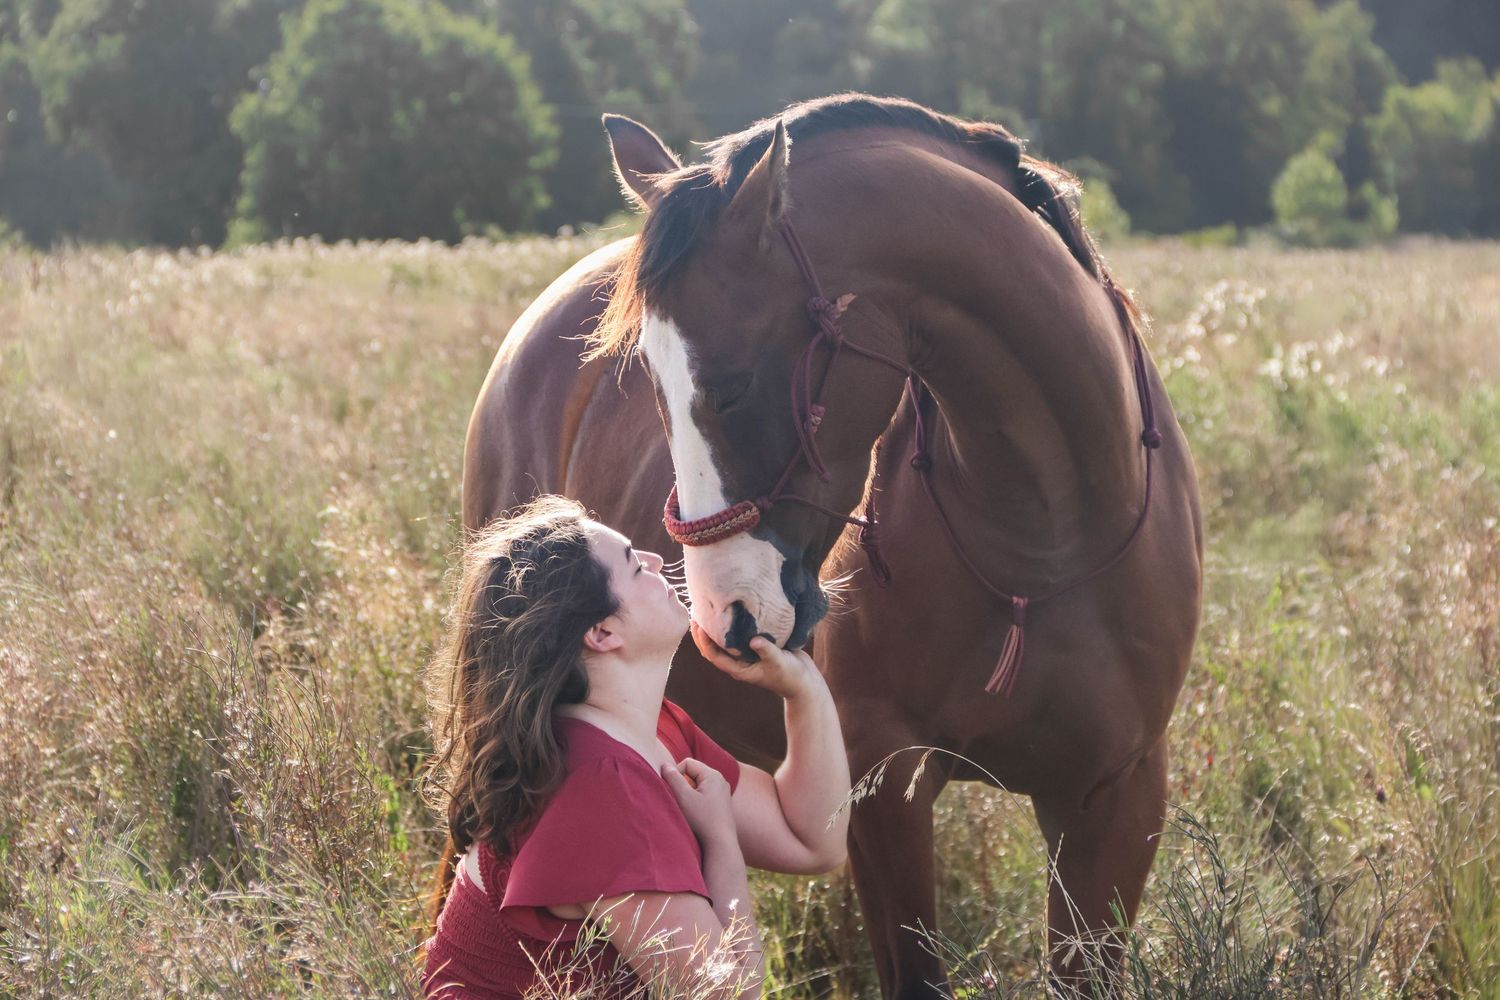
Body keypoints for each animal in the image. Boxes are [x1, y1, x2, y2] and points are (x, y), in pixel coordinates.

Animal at [461, 94, 1204, 998]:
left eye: (733, 385)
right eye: (648, 385)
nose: (725, 617)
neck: (1045, 543)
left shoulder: (1114, 799)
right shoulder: (887, 788)